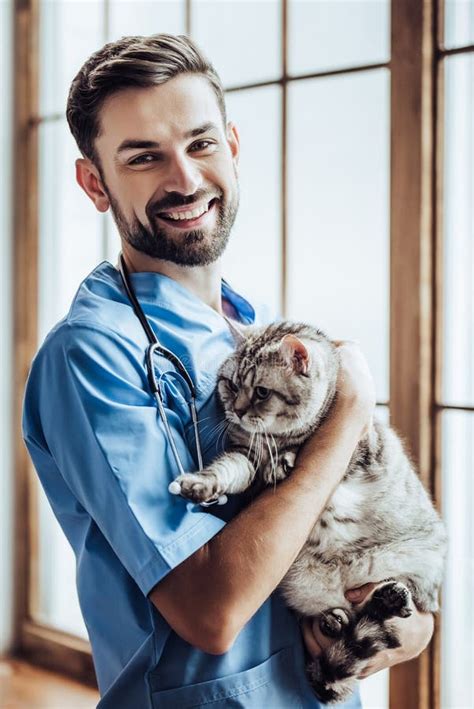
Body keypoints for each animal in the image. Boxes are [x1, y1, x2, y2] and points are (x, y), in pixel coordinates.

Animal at [170, 322, 448, 704]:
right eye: (231, 385)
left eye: (261, 392)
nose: (236, 411)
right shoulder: (244, 457)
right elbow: (226, 470)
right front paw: (201, 484)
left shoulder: (363, 445)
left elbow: (303, 450)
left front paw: (286, 460)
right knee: (345, 618)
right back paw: (338, 620)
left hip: (416, 565)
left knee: (397, 602)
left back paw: (390, 599)